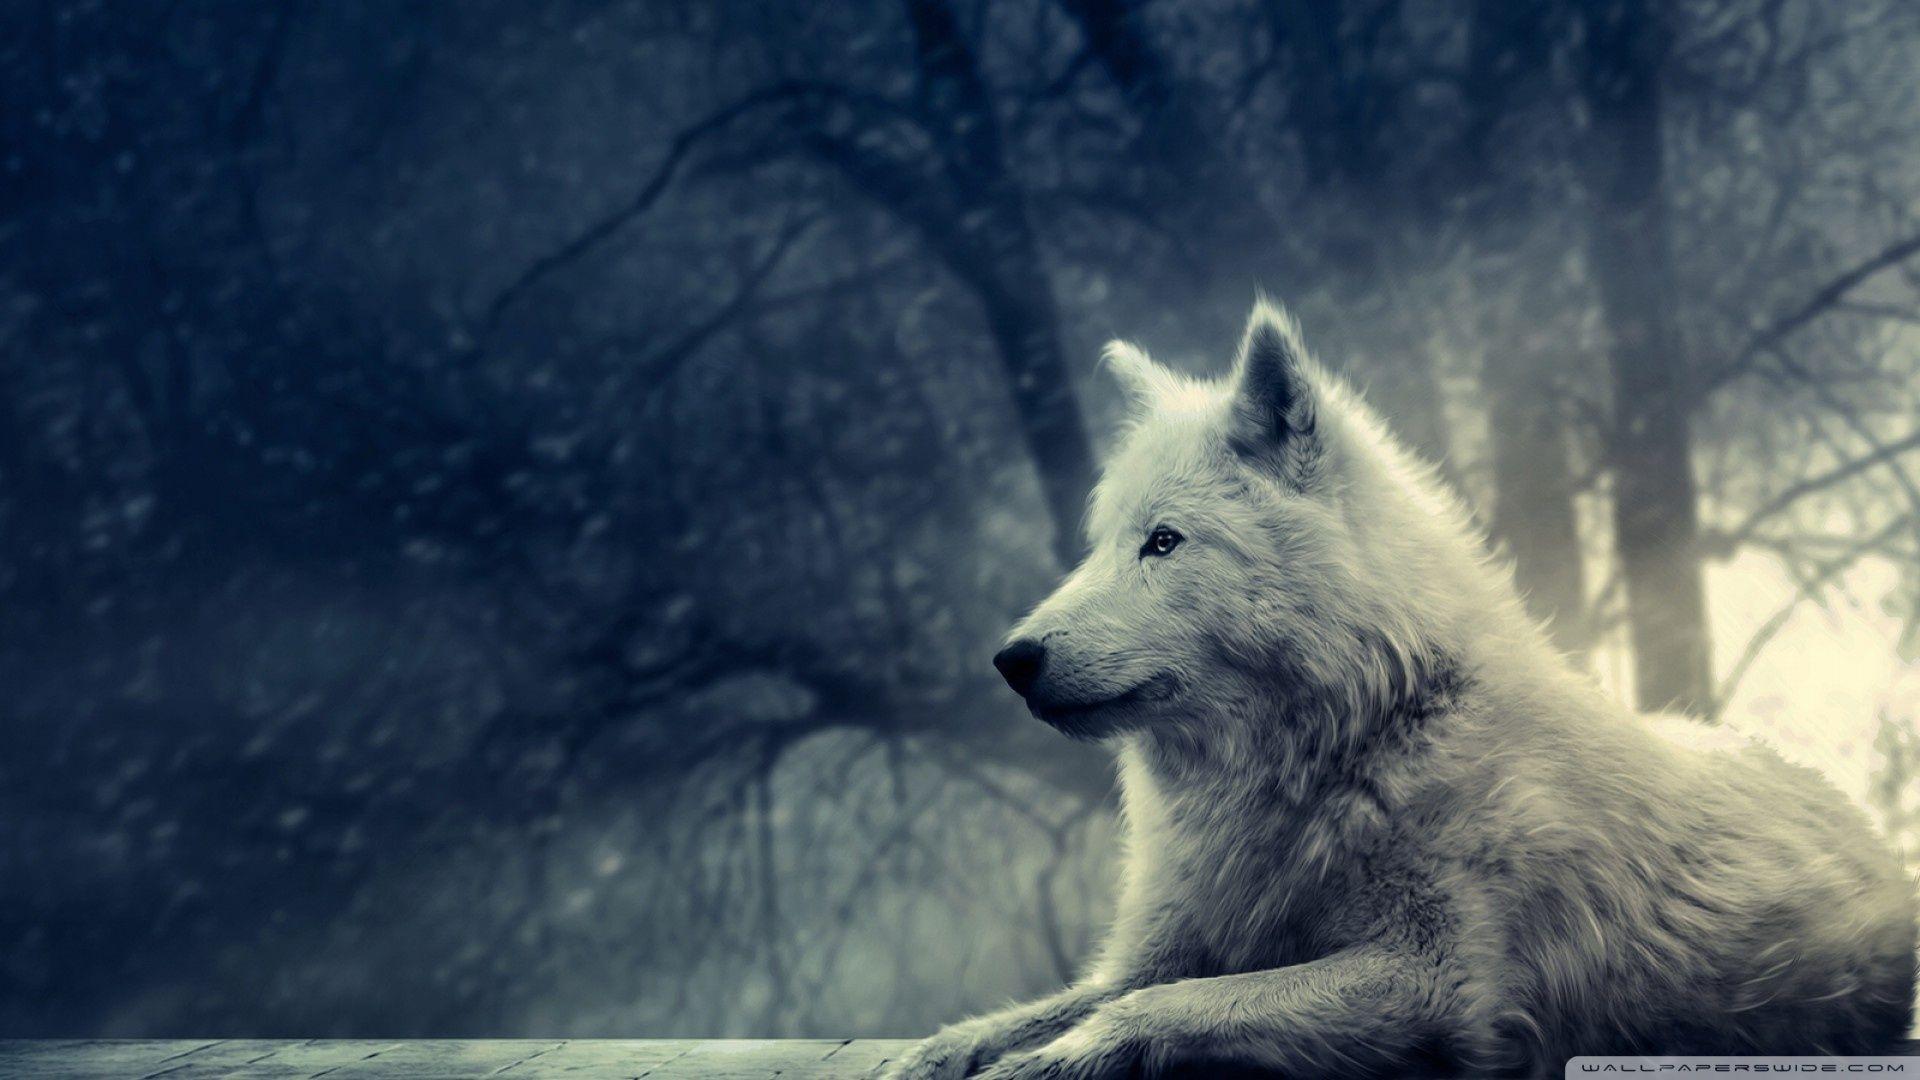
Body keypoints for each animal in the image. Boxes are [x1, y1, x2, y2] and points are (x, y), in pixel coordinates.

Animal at [885, 303, 1915, 1079]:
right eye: (1101, 544)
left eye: (1164, 542)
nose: (1011, 658)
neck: (1356, 739)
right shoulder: (1156, 948)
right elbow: (1049, 1007)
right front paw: (936, 1053)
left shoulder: (1434, 982)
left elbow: (1165, 1007)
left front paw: (1051, 1060)